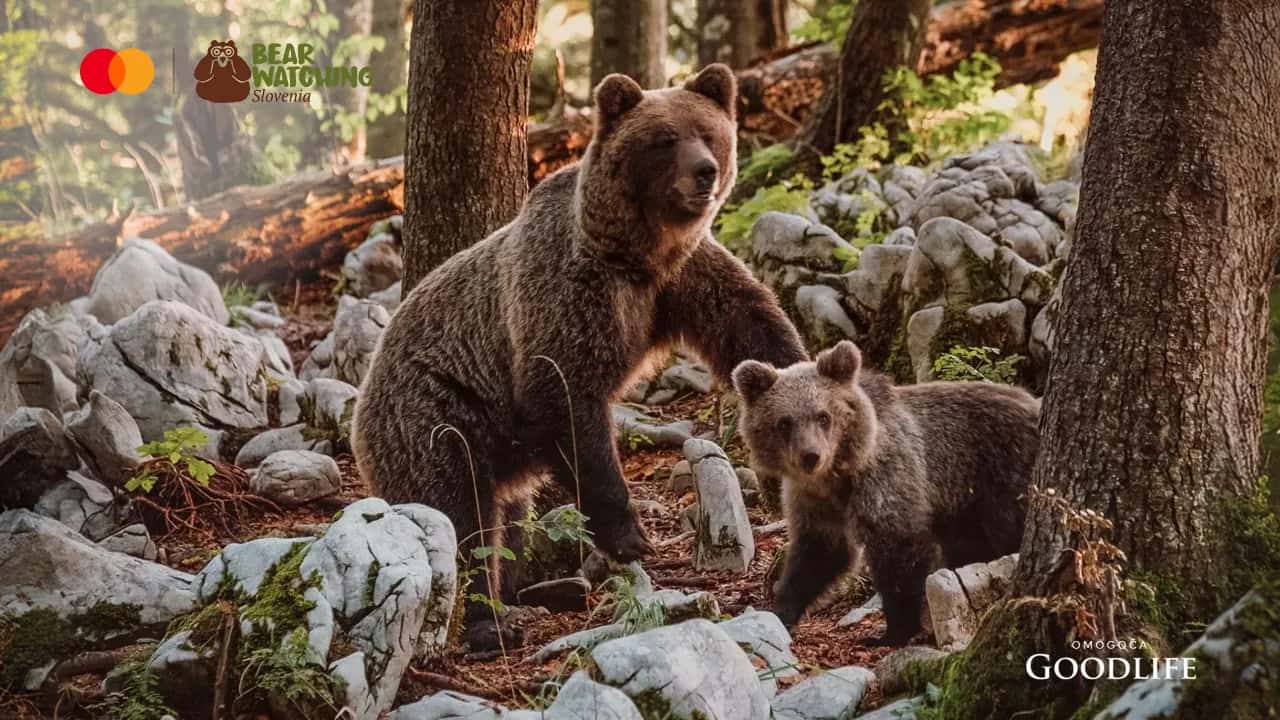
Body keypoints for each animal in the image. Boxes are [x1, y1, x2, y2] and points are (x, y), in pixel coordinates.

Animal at [352, 64, 808, 647]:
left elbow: (752, 326)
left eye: (709, 134)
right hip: (436, 415)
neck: (638, 255)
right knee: (458, 513)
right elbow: (565, 397)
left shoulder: (683, 279)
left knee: (507, 517)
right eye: (664, 140)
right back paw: (489, 620)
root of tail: (364, 394)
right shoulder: (568, 292)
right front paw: (628, 535)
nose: (705, 172)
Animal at [732, 340, 1039, 645]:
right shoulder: (813, 501)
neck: (836, 477)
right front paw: (781, 611)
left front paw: (892, 632)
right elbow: (818, 554)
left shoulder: (886, 478)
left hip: (1003, 473)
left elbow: (898, 550)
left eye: (823, 416)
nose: (810, 456)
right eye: (784, 422)